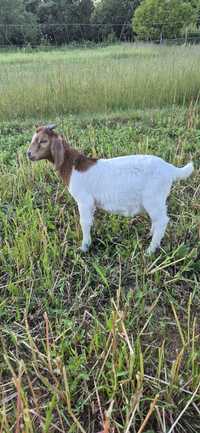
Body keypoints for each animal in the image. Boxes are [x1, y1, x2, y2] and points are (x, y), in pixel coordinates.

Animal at [28, 124, 194, 253]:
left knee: (162, 221)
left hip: (154, 198)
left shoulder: (84, 201)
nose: (28, 154)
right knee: (157, 220)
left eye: (43, 141)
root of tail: (170, 169)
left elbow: (84, 222)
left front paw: (84, 247)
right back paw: (150, 236)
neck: (73, 165)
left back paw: (150, 250)